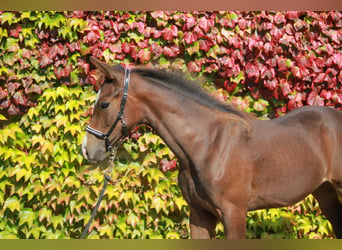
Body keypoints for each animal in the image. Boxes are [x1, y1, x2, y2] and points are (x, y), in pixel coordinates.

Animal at [81, 56, 342, 238]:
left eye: (104, 104)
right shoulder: (199, 215)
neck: (208, 144)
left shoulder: (234, 214)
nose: (86, 149)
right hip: (325, 192)